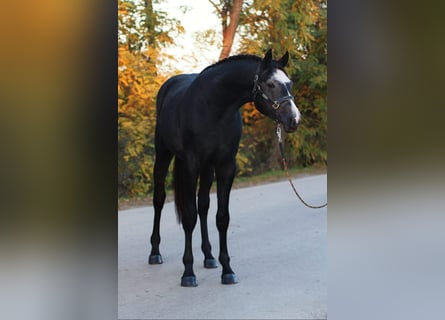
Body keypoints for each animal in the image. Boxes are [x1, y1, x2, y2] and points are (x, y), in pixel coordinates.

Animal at [147, 48, 300, 286]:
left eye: (289, 83)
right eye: (270, 84)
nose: (294, 119)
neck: (213, 108)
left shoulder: (226, 166)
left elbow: (221, 217)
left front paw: (227, 269)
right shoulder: (190, 165)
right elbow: (189, 217)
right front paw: (188, 273)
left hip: (207, 168)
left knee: (203, 206)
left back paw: (209, 256)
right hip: (164, 155)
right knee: (159, 200)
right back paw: (155, 252)